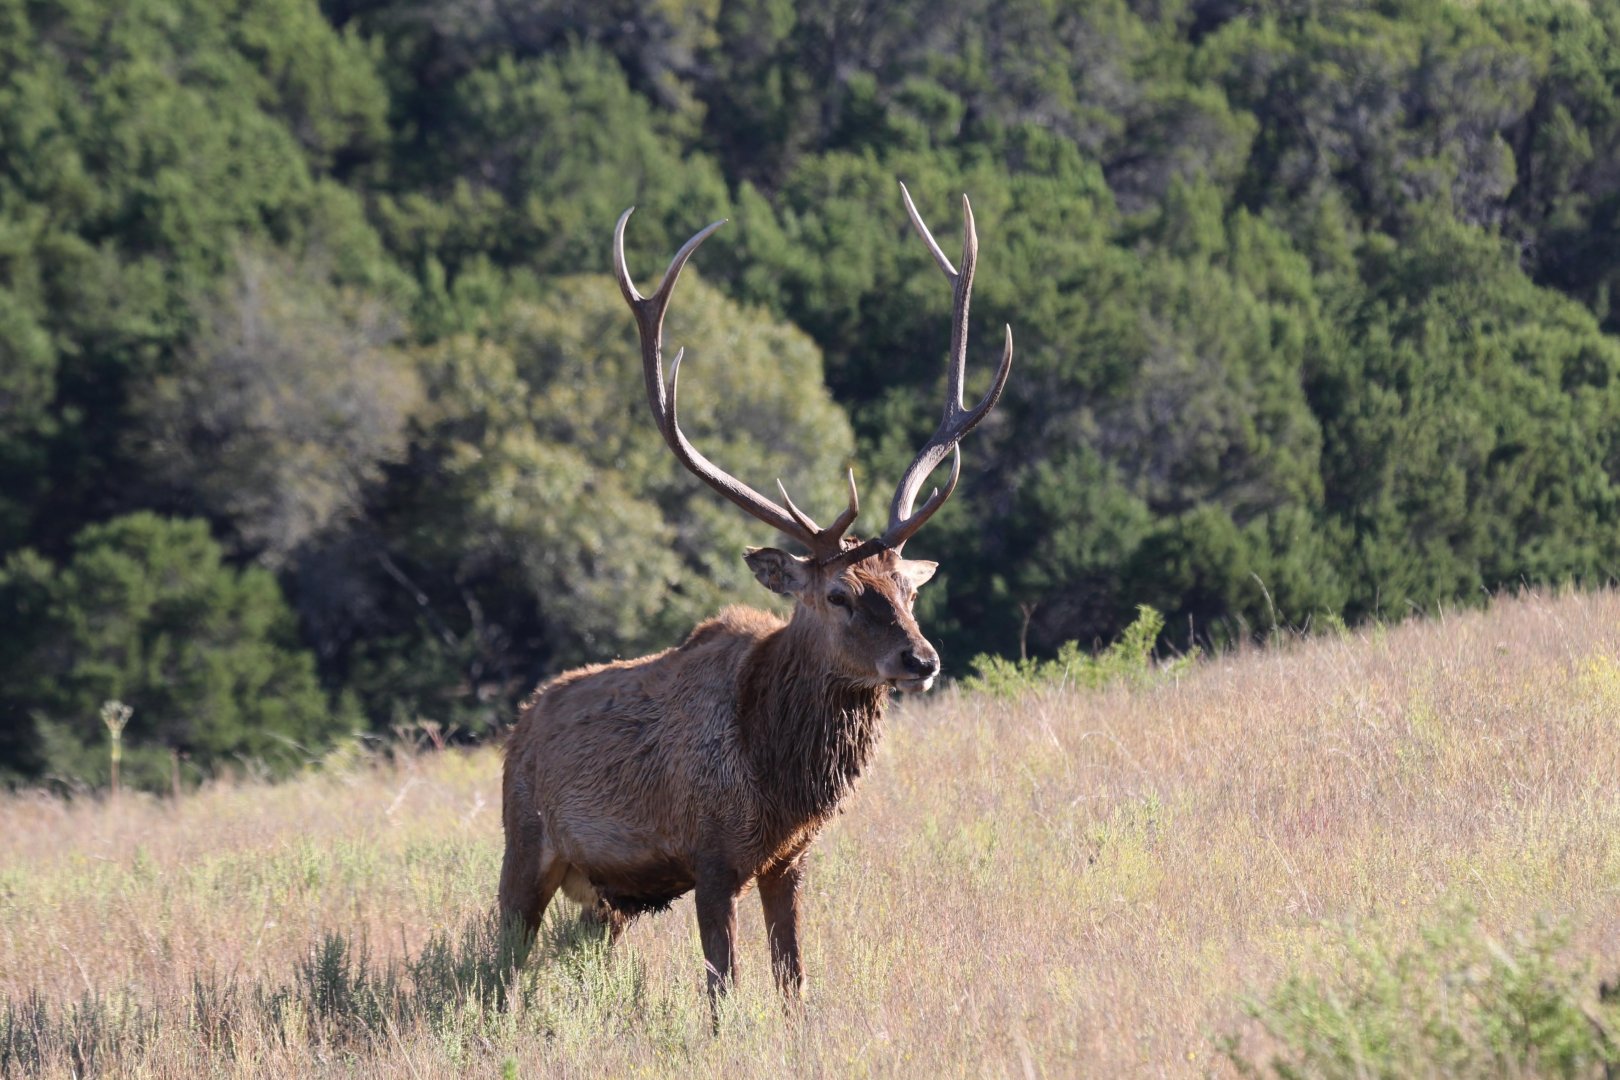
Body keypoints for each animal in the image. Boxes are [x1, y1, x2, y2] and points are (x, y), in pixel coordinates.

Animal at [499, 182, 1012, 1008]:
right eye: (837, 593)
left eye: (906, 587)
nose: (923, 659)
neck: (774, 777)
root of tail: (519, 723)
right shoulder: (710, 858)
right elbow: (721, 993)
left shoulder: (789, 860)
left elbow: (794, 982)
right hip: (522, 839)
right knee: (501, 954)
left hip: (602, 898)